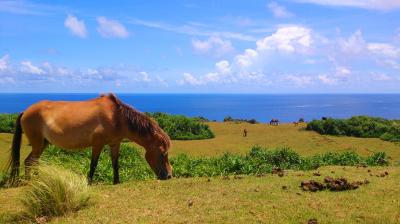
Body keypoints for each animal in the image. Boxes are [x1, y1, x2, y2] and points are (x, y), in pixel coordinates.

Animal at [6, 93, 172, 185]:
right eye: (162, 153)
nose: (169, 175)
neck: (116, 117)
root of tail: (25, 111)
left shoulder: (115, 144)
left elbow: (115, 164)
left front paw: (116, 181)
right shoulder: (97, 144)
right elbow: (93, 164)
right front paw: (89, 182)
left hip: (42, 144)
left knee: (32, 161)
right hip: (37, 143)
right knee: (30, 161)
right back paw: (31, 182)